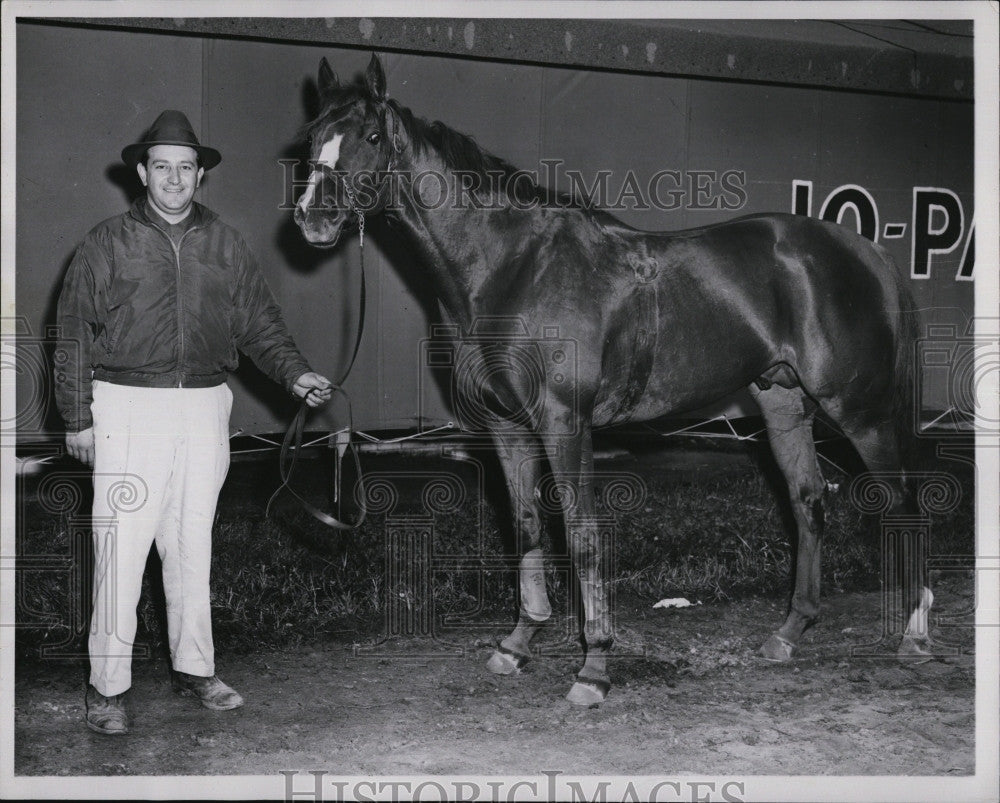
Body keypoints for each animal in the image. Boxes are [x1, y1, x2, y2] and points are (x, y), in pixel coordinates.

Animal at [292, 55, 924, 704]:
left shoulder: (565, 424)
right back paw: (790, 633)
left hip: (861, 410)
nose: (315, 218)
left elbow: (582, 533)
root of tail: (864, 250)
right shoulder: (505, 426)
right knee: (808, 501)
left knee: (903, 501)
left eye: (371, 136)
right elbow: (525, 525)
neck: (511, 267)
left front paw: (594, 666)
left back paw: (914, 634)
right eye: (313, 135)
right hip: (783, 402)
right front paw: (517, 643)